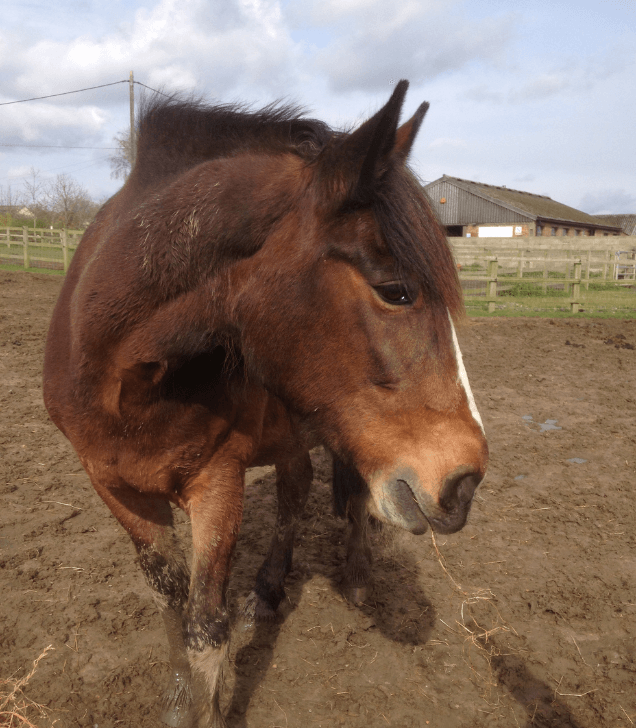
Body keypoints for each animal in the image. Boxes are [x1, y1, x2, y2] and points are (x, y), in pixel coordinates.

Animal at [43, 80, 488, 727]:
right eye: (396, 291)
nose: (464, 482)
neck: (125, 378)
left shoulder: (216, 482)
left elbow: (207, 627)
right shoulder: (114, 486)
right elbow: (170, 600)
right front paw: (180, 697)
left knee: (349, 498)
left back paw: (356, 578)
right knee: (295, 491)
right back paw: (272, 586)